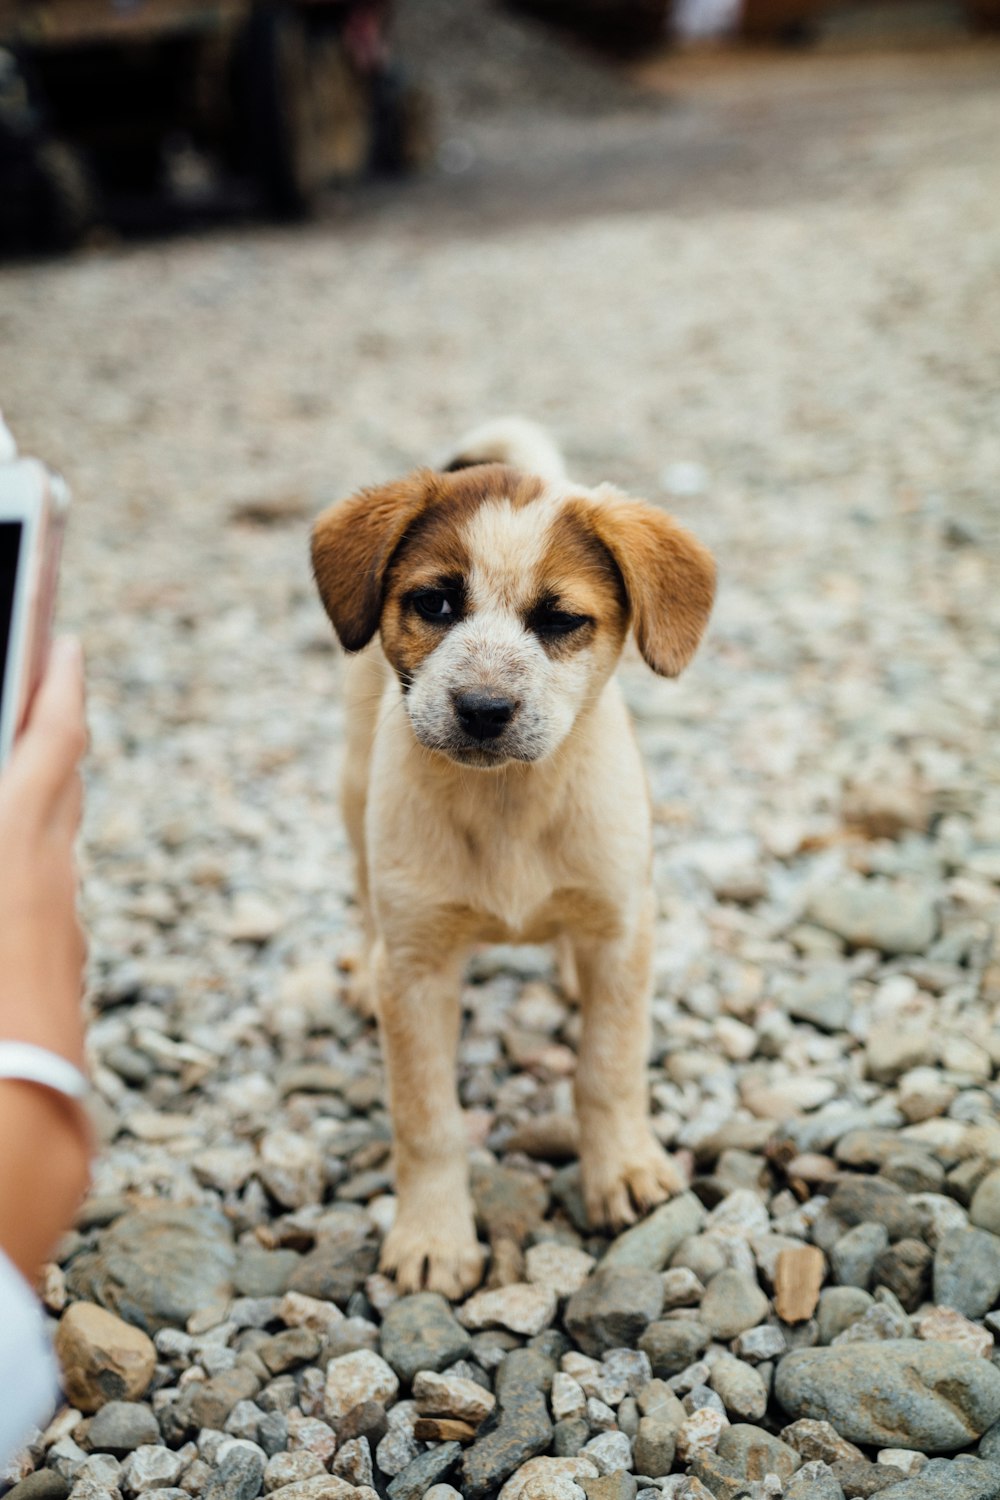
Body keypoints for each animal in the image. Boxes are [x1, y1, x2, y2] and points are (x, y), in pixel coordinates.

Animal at [308, 423, 716, 1302]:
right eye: (435, 603)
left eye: (561, 620)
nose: (484, 710)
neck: (508, 808)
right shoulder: (418, 970)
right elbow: (427, 1121)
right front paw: (433, 1237)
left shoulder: (622, 929)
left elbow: (608, 1068)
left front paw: (623, 1172)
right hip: (353, 793)